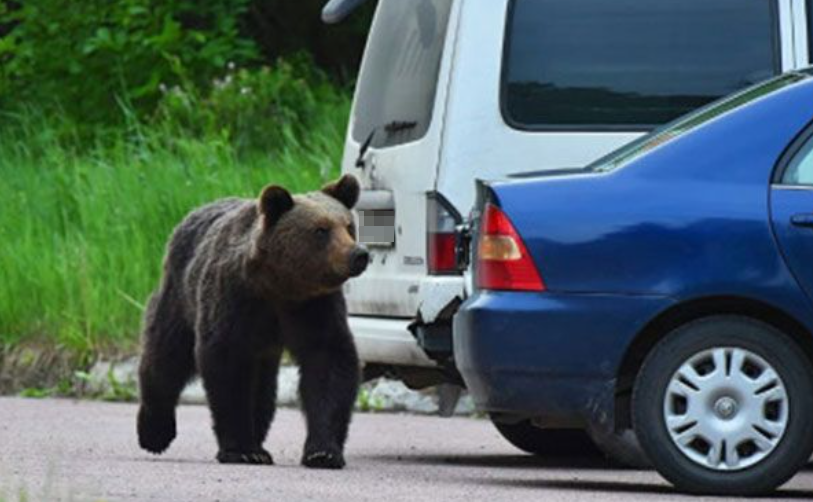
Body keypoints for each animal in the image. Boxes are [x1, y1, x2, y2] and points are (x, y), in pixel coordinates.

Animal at [136, 174, 368, 469]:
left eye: (349, 226)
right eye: (321, 230)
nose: (359, 254)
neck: (279, 286)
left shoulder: (314, 307)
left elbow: (329, 364)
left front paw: (323, 452)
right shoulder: (235, 299)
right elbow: (227, 367)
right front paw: (241, 449)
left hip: (263, 347)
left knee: (263, 389)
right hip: (180, 296)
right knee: (166, 357)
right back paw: (154, 433)